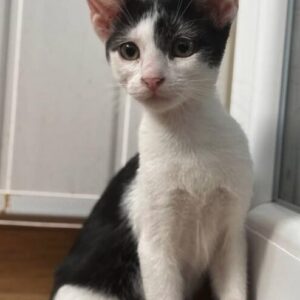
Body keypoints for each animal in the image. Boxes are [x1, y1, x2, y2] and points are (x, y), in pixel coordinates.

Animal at [51, 0, 253, 300]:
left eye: (183, 47)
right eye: (129, 51)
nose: (152, 78)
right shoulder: (154, 244)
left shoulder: (232, 235)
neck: (186, 136)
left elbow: (234, 286)